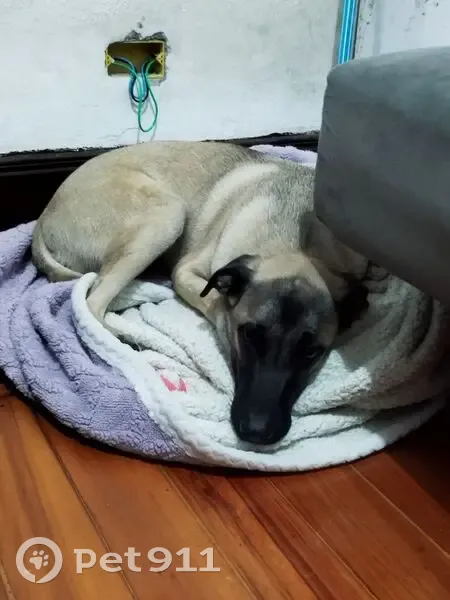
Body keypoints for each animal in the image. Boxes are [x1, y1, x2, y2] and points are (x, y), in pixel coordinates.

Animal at [31, 141, 369, 445]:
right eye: (249, 335)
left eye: (312, 352)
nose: (256, 432)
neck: (296, 243)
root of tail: (43, 218)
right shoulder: (187, 272)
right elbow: (216, 303)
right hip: (166, 216)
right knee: (92, 301)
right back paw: (125, 341)